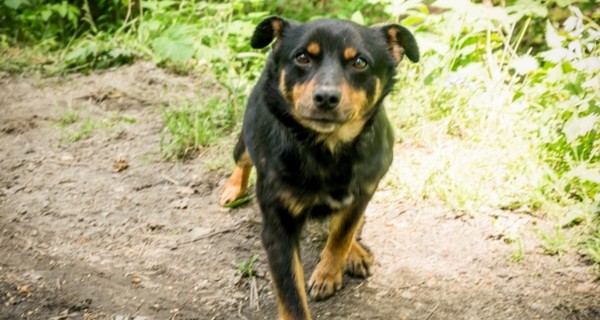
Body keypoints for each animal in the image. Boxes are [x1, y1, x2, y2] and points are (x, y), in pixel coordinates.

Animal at [218, 16, 420, 320]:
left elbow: (342, 233)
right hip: (247, 136)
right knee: (242, 159)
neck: (328, 149)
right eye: (302, 57)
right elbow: (291, 296)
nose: (325, 97)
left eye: (359, 62)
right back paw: (233, 189)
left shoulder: (363, 192)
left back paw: (355, 252)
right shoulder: (278, 228)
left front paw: (329, 272)